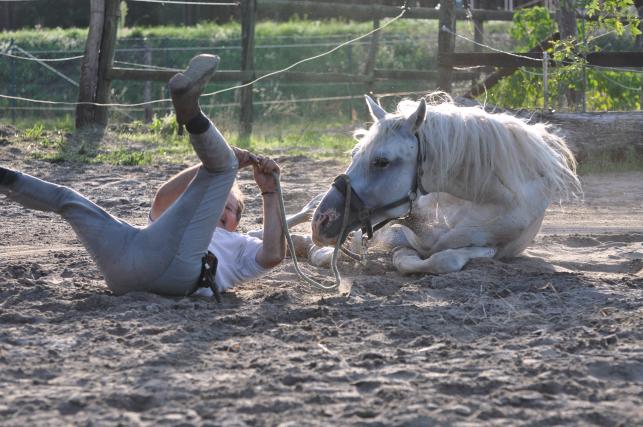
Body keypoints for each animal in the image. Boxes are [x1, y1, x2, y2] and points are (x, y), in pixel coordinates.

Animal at [310, 94, 580, 276]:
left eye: (381, 161)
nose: (321, 221)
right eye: (354, 153)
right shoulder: (393, 228)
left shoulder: (494, 248)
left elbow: (440, 260)